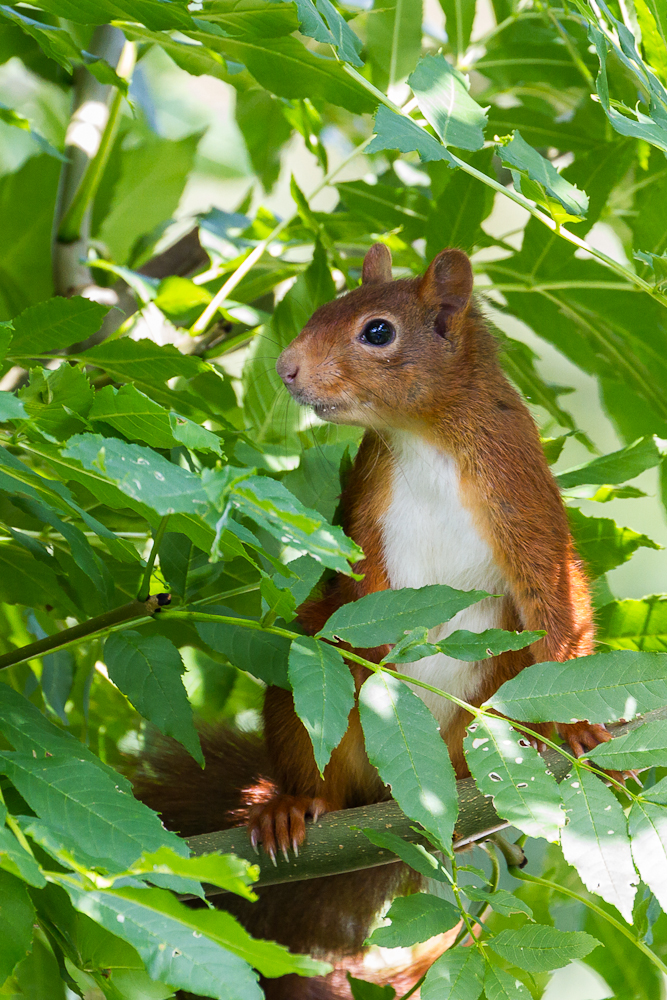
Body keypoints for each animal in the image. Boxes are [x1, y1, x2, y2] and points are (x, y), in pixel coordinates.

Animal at [132, 244, 616, 1000]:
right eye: (321, 309)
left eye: (377, 332)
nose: (287, 368)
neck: (423, 435)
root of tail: (396, 803)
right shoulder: (363, 508)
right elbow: (357, 588)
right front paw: (371, 647)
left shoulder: (520, 491)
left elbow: (554, 597)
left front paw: (577, 724)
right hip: (305, 720)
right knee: (316, 766)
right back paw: (287, 805)